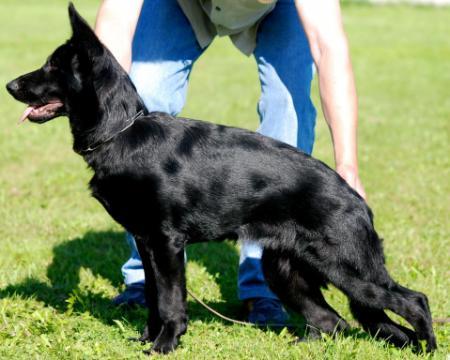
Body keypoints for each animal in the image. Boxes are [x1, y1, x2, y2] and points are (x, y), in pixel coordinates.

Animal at [6, 4, 436, 354]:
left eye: (52, 65)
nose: (9, 85)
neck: (122, 131)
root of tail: (357, 200)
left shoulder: (166, 245)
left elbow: (170, 301)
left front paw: (165, 344)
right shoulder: (146, 244)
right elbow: (152, 299)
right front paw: (147, 339)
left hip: (349, 271)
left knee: (414, 301)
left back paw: (428, 347)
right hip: (284, 272)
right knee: (333, 321)